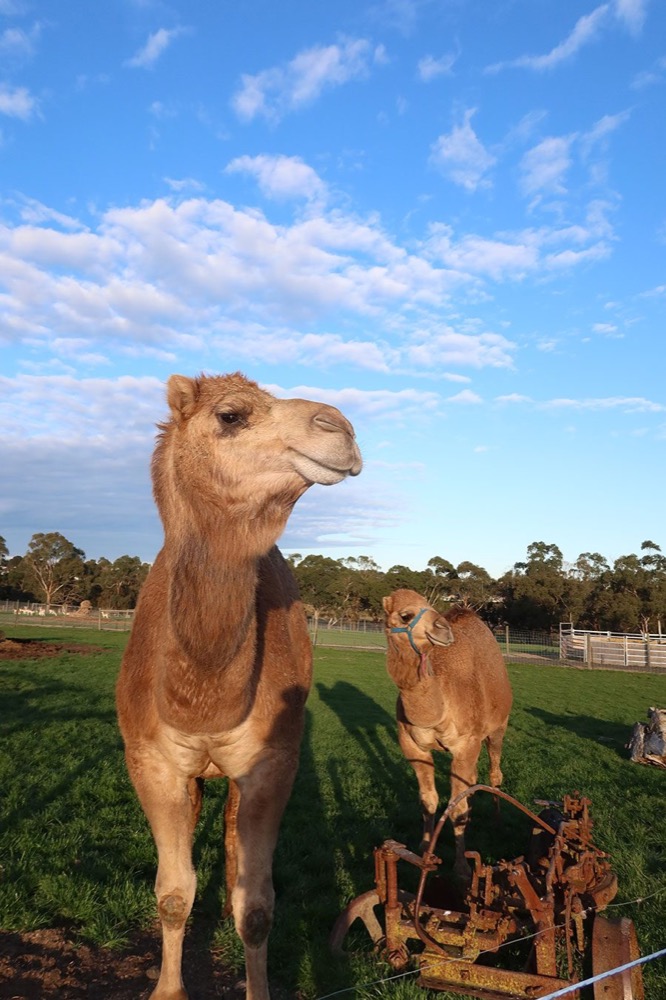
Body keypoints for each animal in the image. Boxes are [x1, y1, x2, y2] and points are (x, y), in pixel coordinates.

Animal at [116, 372, 362, 1000]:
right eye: (230, 415)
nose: (341, 427)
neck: (202, 700)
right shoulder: (150, 760)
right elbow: (173, 894)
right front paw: (167, 989)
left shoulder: (271, 762)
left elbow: (255, 906)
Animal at [383, 589, 512, 878]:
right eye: (405, 615)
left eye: (430, 605)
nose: (442, 629)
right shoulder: (412, 747)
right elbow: (428, 800)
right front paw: (424, 847)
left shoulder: (465, 744)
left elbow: (457, 809)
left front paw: (462, 868)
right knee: (472, 780)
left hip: (498, 727)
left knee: (494, 774)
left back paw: (498, 820)